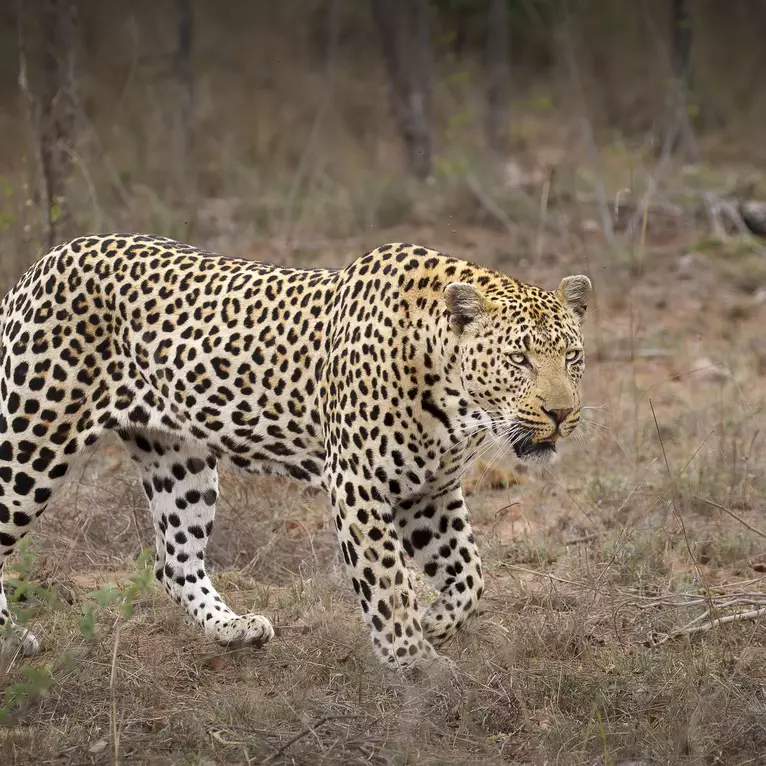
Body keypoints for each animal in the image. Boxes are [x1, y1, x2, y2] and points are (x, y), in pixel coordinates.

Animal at [0, 234, 591, 670]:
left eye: (572, 356)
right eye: (518, 360)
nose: (562, 413)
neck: (456, 398)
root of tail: (38, 266)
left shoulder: (429, 491)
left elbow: (470, 572)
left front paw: (435, 623)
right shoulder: (358, 482)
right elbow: (388, 582)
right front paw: (414, 661)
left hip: (180, 460)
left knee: (175, 561)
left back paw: (234, 629)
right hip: (31, 442)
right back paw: (10, 641)